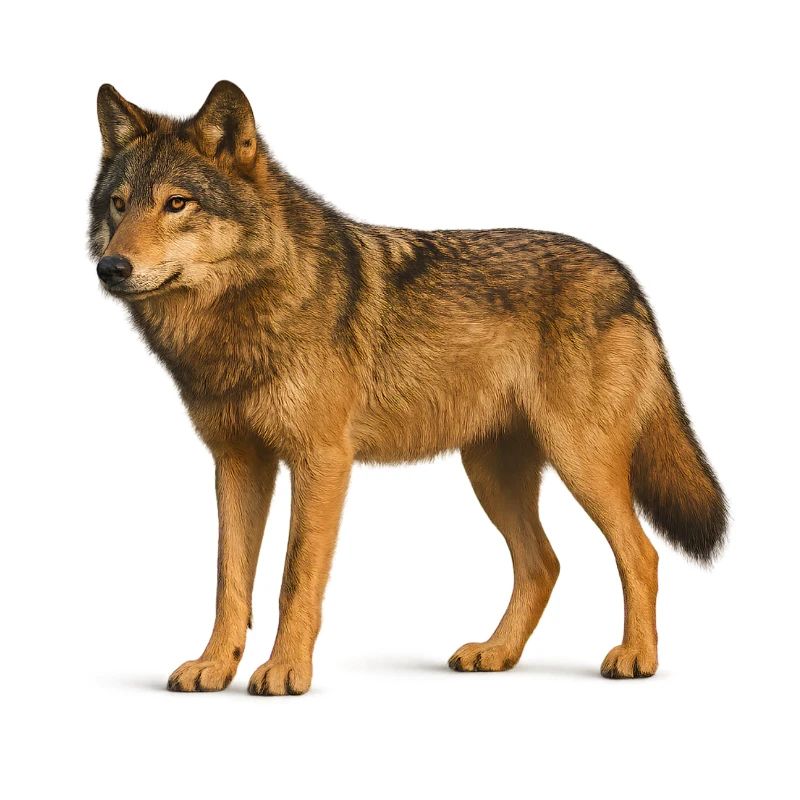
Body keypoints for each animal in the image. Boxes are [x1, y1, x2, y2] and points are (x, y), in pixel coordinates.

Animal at [90, 81, 726, 694]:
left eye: (176, 203)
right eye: (118, 205)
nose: (111, 268)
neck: (239, 317)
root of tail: (628, 280)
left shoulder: (322, 462)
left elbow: (294, 579)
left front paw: (286, 671)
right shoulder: (238, 463)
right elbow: (229, 581)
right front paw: (214, 667)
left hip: (580, 461)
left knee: (641, 554)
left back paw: (636, 657)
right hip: (491, 474)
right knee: (543, 564)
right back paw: (496, 653)